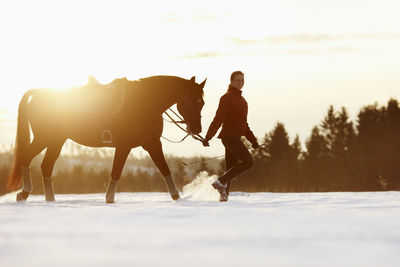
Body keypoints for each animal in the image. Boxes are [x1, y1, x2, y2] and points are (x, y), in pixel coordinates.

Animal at [7, 75, 206, 203]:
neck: (143, 103)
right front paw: (109, 198)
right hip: (45, 137)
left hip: (57, 140)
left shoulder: (152, 144)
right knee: (27, 157)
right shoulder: (125, 146)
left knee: (46, 165)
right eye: (192, 100)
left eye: (202, 102)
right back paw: (25, 193)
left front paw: (176, 196)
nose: (197, 129)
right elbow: (116, 171)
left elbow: (164, 168)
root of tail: (39, 93)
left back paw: (50, 199)